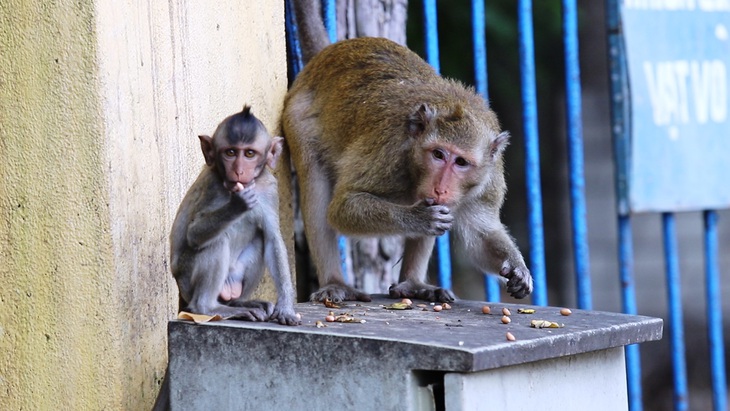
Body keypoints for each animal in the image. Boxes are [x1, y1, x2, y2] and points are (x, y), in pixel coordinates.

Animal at [286, 0, 536, 302]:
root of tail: (328, 54)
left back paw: (412, 284)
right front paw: (418, 218)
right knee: (316, 189)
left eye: (461, 162)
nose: (441, 187)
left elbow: (480, 235)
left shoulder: (489, 182)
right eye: (438, 154)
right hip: (299, 118)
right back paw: (335, 282)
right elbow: (342, 208)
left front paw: (517, 267)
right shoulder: (389, 155)